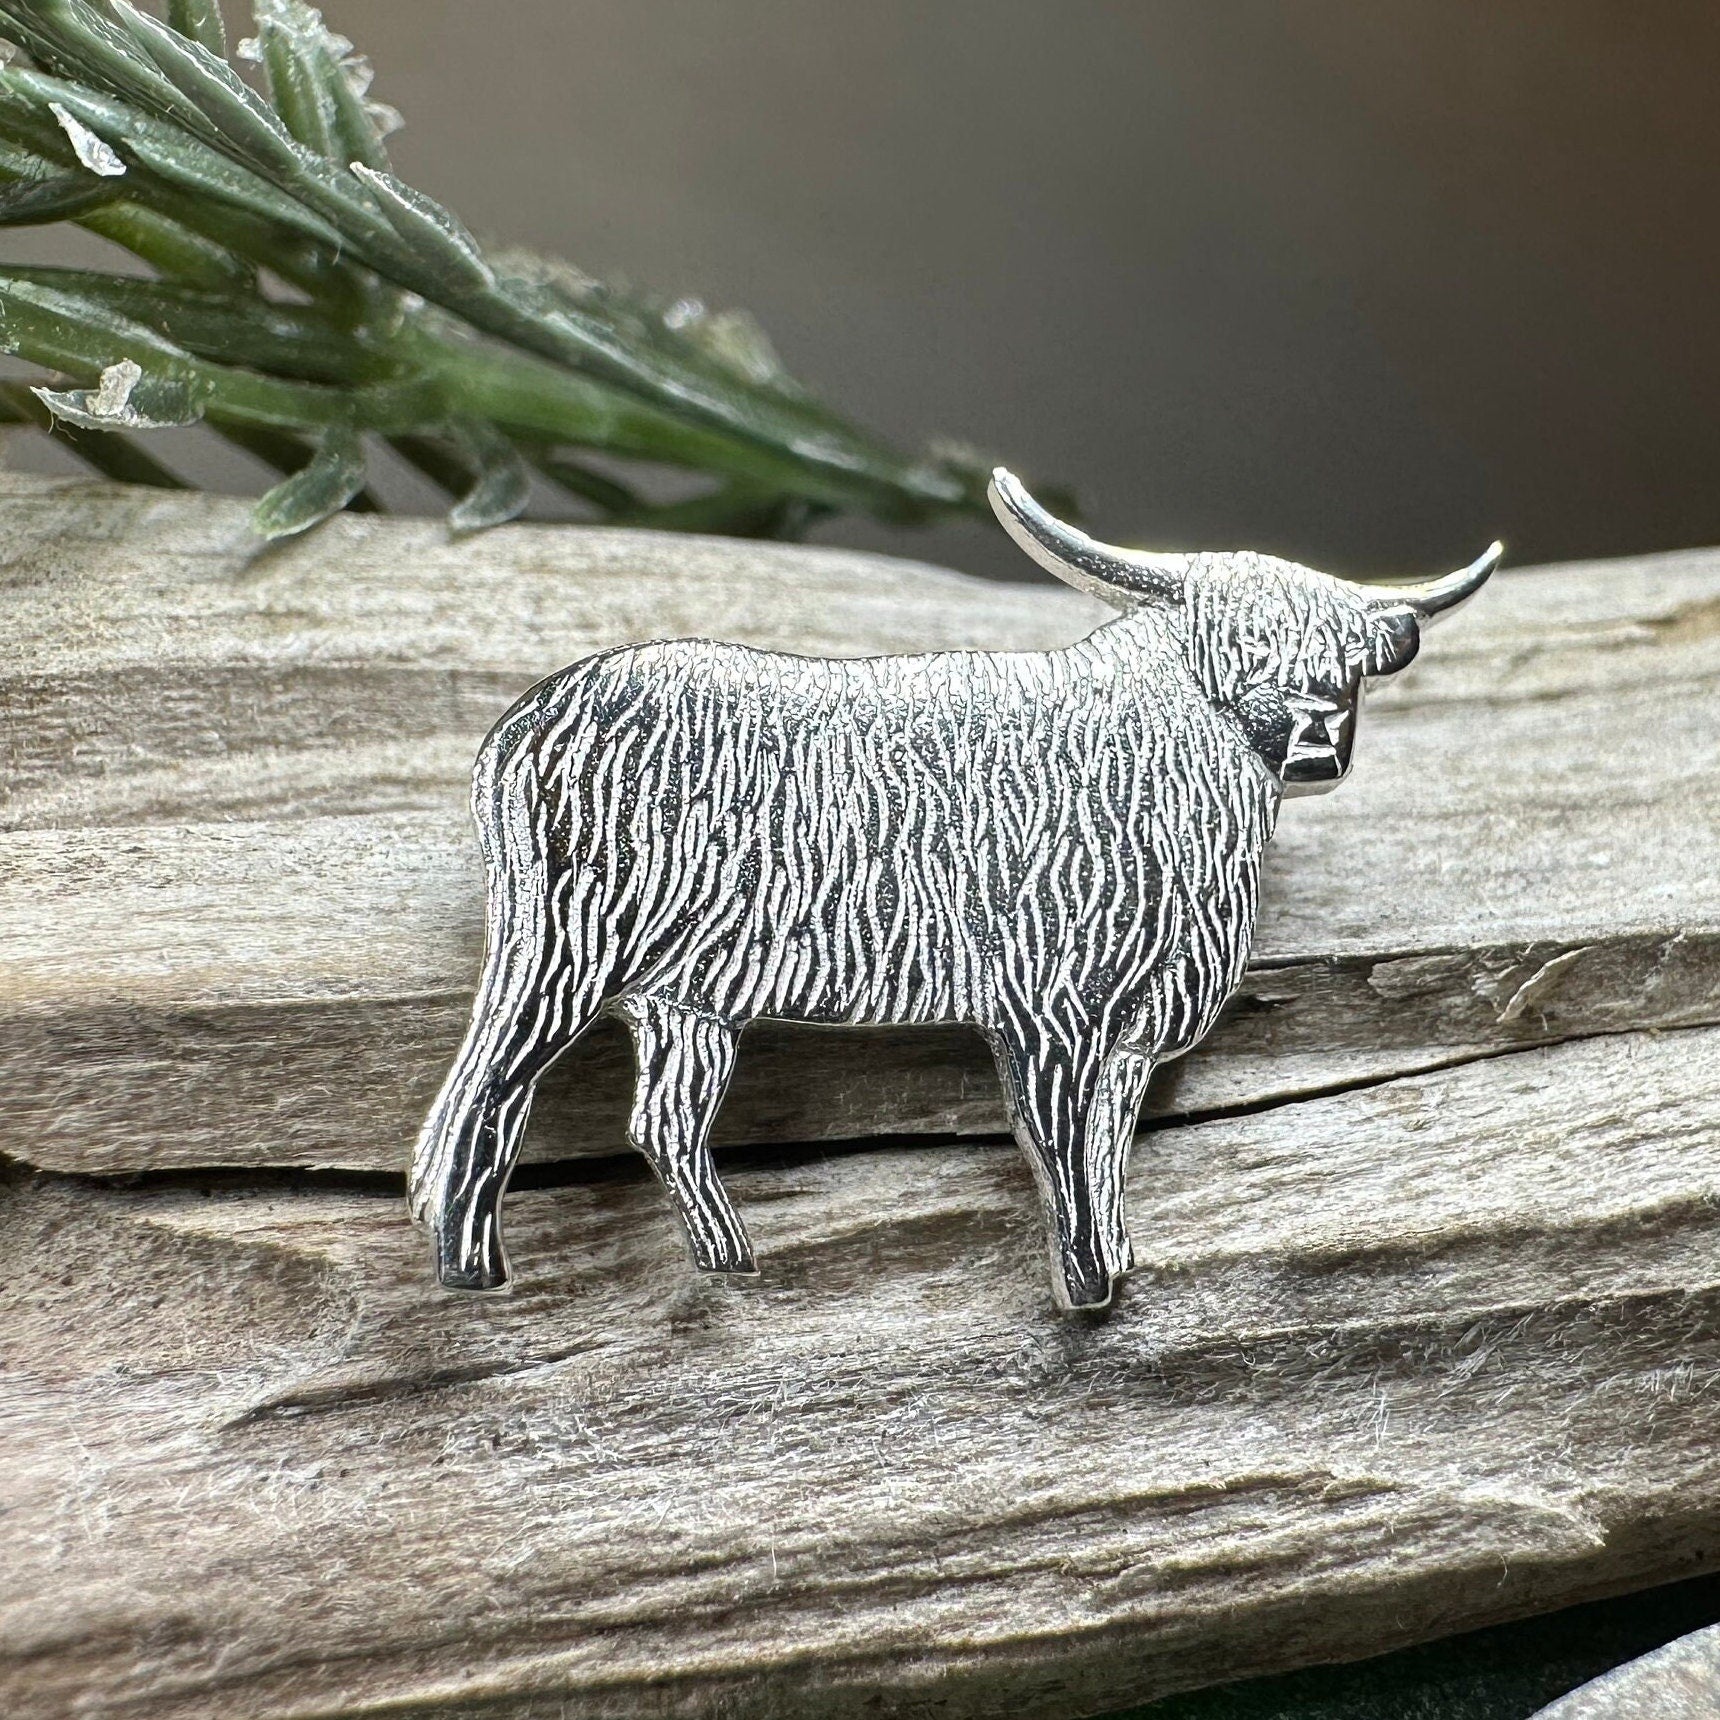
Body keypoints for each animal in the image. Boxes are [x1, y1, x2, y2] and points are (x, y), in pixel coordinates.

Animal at [411, 470, 1499, 1308]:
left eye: (1350, 662)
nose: (1316, 743)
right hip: (565, 948)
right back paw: (472, 1266)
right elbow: (1058, 1146)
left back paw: (731, 1262)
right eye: (1236, 646)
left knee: (664, 1124)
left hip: (687, 998)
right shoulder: (1049, 1007)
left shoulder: (1132, 1025)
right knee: (487, 1089)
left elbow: (1109, 1145)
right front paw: (1084, 1285)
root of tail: (531, 717)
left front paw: (1119, 1262)